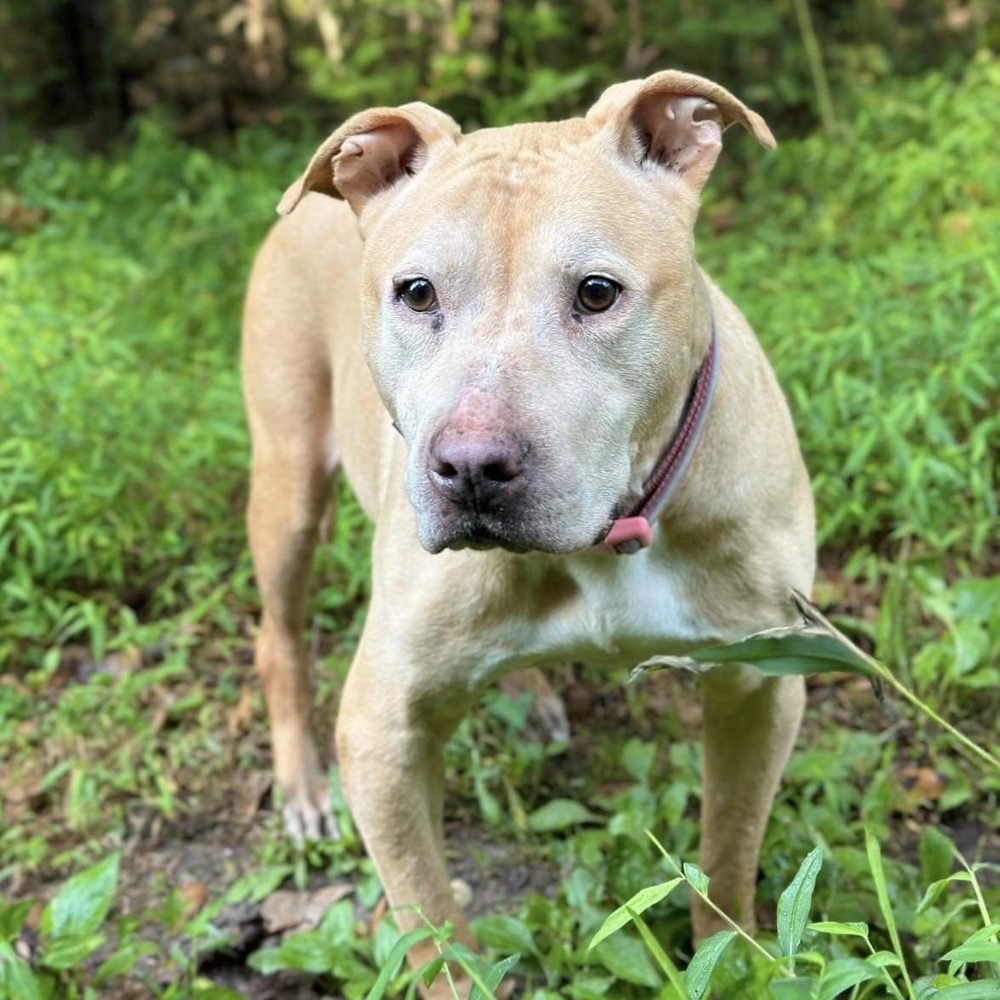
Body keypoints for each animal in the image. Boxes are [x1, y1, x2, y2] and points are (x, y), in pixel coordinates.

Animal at [242, 68, 812, 992]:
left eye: (597, 292)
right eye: (417, 293)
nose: (471, 467)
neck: (612, 531)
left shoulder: (761, 686)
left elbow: (728, 855)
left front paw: (735, 966)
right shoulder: (382, 735)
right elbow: (435, 929)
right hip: (286, 481)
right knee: (278, 637)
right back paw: (301, 785)